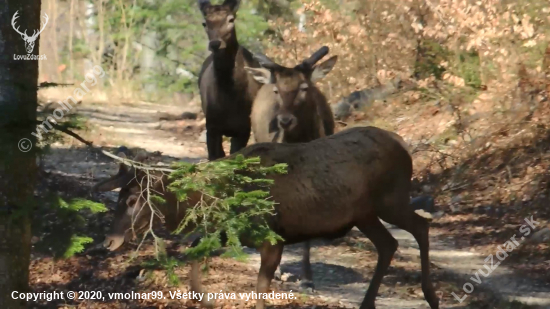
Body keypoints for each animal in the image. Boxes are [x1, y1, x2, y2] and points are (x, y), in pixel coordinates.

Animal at [95, 125, 440, 308]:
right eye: (119, 197)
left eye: (133, 199)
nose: (108, 241)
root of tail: (405, 147)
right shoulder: (231, 232)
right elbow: (195, 249)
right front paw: (202, 296)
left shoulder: (273, 238)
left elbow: (261, 288)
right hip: (364, 214)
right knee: (389, 244)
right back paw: (369, 302)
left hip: (389, 199)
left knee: (421, 226)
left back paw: (430, 295)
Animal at [198, 0, 266, 162]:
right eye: (204, 22)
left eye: (231, 19)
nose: (215, 43)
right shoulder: (211, 125)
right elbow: (215, 157)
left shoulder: (244, 128)